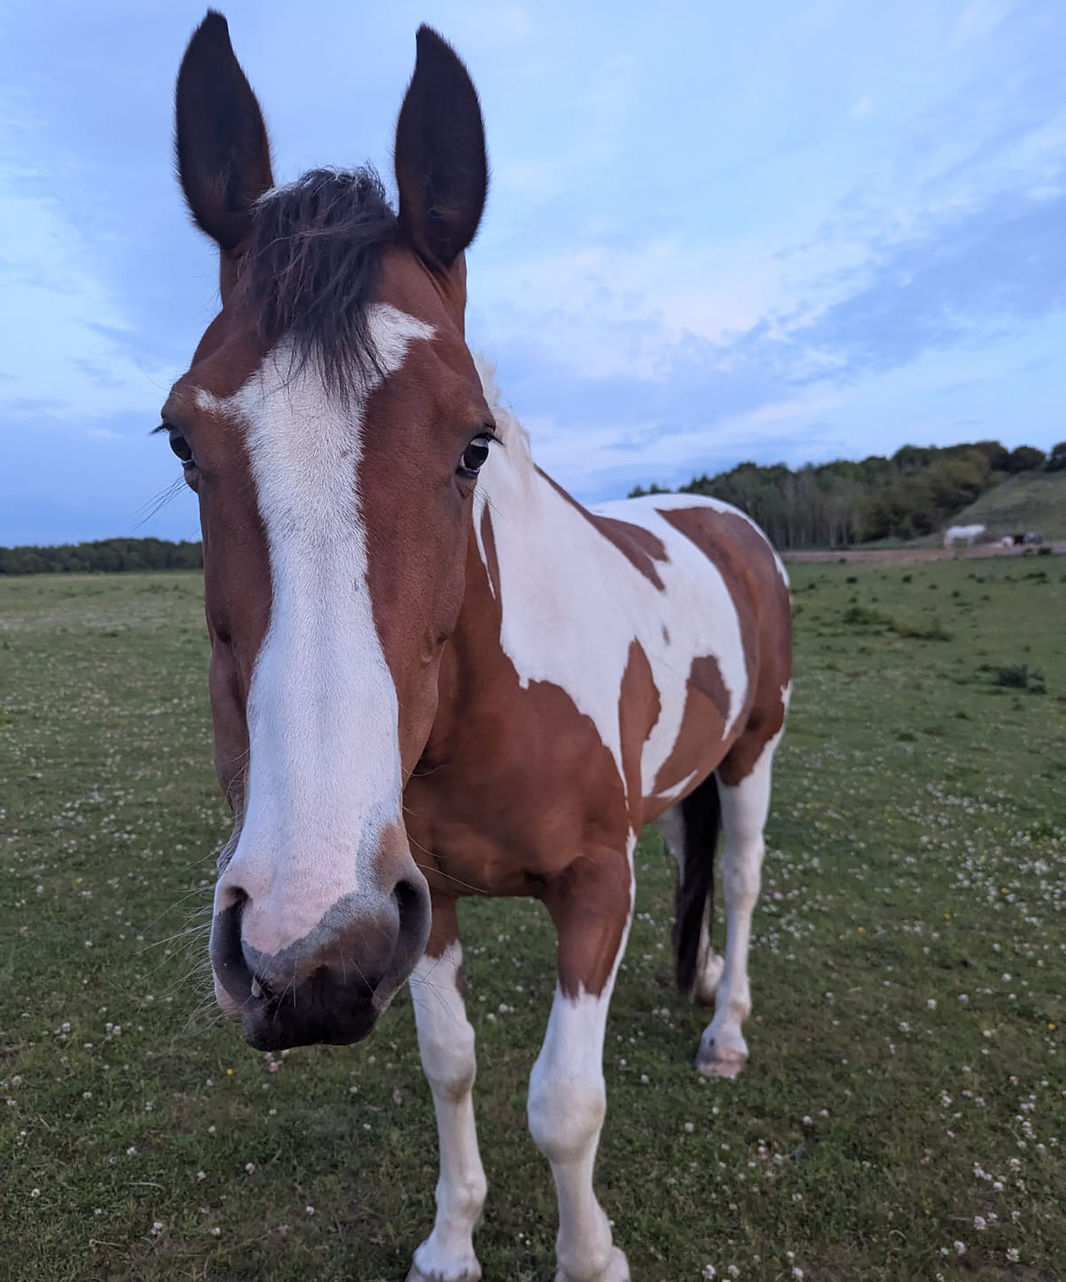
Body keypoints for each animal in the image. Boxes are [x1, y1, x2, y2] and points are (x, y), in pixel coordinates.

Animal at [166, 15, 792, 1282]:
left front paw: (589, 1255)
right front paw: (452, 1239)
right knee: (698, 866)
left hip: (755, 751)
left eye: (472, 443)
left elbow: (564, 1103)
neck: (492, 703)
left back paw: (725, 1028)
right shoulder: (423, 897)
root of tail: (722, 515)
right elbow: (448, 1066)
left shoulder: (594, 881)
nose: (304, 949)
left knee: (742, 878)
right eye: (180, 441)